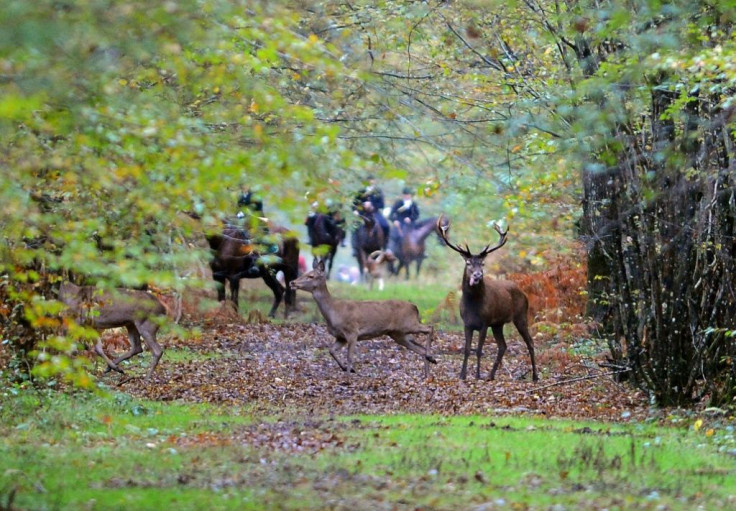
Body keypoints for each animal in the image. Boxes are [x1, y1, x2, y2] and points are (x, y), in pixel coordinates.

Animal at [288, 262, 436, 374]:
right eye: (304, 273)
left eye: (311, 275)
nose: (292, 282)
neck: (333, 312)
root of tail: (415, 307)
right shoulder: (340, 337)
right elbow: (331, 351)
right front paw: (348, 370)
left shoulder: (352, 331)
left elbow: (349, 357)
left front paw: (347, 378)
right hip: (398, 334)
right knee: (420, 349)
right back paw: (428, 369)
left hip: (408, 324)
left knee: (429, 327)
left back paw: (430, 358)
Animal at [436, 214, 536, 382]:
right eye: (468, 262)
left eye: (482, 263)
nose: (478, 275)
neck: (473, 305)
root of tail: (523, 293)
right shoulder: (467, 324)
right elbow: (467, 349)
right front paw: (462, 375)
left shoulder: (484, 322)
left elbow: (479, 350)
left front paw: (477, 375)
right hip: (498, 324)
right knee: (503, 346)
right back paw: (491, 375)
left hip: (521, 315)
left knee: (530, 342)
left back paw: (535, 376)